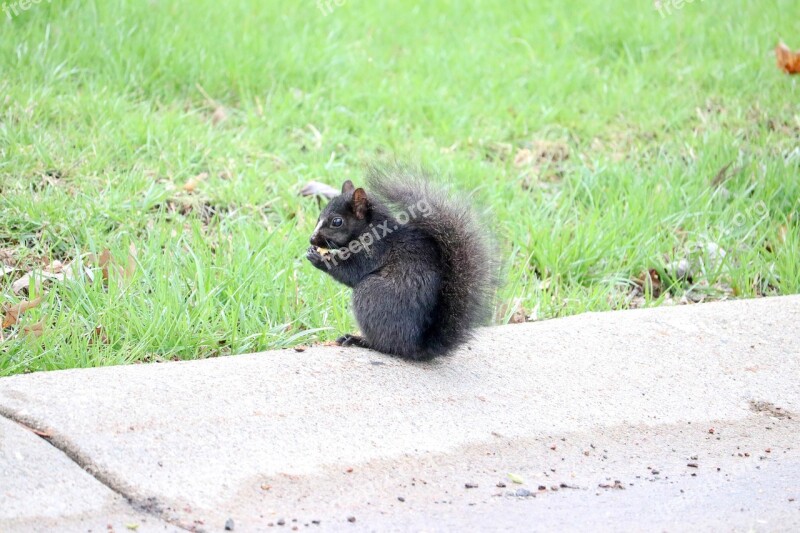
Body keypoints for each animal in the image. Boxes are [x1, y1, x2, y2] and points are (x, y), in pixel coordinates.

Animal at [304, 166, 496, 358]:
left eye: (337, 221)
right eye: (319, 216)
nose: (312, 239)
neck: (370, 228)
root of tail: (416, 347)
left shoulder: (375, 251)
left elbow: (351, 272)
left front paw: (321, 258)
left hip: (371, 294)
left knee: (386, 346)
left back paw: (360, 341)